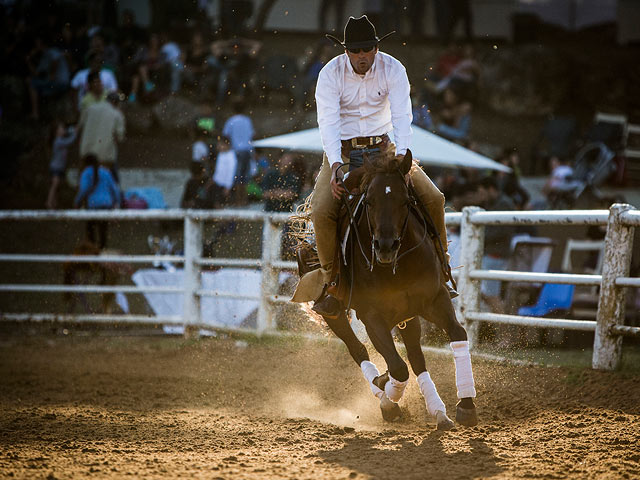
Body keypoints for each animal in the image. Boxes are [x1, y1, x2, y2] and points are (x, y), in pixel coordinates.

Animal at [302, 150, 478, 428]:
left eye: (405, 201)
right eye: (369, 201)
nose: (385, 246)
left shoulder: (435, 299)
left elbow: (457, 334)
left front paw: (467, 405)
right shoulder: (372, 316)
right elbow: (397, 367)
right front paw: (389, 398)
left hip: (408, 314)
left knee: (416, 357)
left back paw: (437, 410)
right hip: (334, 312)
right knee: (358, 349)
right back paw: (384, 393)